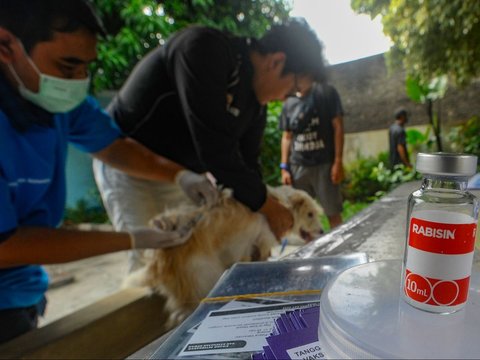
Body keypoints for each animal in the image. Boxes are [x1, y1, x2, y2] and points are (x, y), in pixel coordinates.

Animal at [125, 186, 324, 324]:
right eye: (310, 214)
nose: (322, 231)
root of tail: (160, 258)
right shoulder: (243, 243)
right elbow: (248, 256)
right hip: (203, 270)